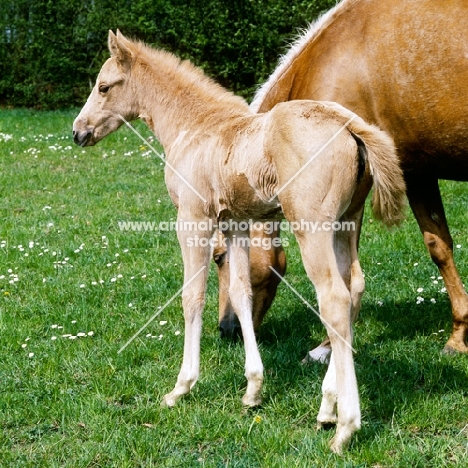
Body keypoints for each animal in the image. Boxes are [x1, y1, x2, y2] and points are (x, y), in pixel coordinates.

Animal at [73, 30, 406, 454]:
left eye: (103, 87)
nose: (77, 132)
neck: (196, 126)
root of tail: (349, 125)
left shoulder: (192, 220)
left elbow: (192, 295)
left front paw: (181, 387)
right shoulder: (236, 225)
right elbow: (241, 292)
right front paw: (253, 389)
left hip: (312, 228)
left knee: (334, 299)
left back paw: (346, 427)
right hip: (347, 224)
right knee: (354, 287)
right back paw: (326, 408)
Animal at [249, 0, 468, 354]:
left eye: (218, 258)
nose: (227, 329)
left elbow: (342, 271)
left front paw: (328, 345)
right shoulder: (416, 173)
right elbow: (440, 247)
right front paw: (459, 334)